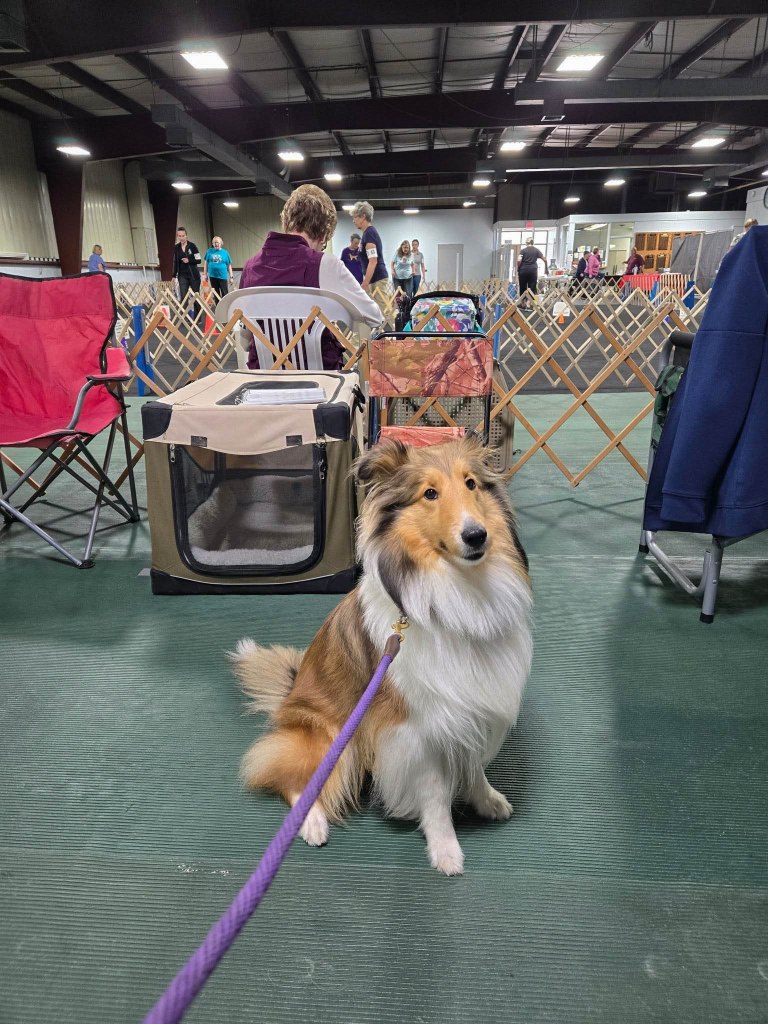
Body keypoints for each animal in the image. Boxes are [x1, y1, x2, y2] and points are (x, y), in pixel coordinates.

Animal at [230, 436, 532, 875]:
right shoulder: (416, 726)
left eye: (471, 483)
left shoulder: (470, 704)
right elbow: (435, 794)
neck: (459, 591)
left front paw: (485, 799)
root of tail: (289, 695)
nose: (477, 536)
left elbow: (473, 763)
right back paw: (312, 823)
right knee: (294, 780)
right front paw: (445, 850)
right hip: (331, 736)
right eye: (429, 493)